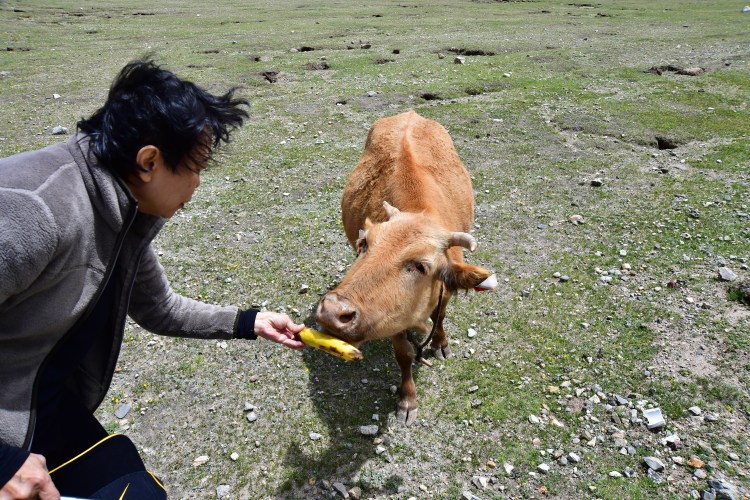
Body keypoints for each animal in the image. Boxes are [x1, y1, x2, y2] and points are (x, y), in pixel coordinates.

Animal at [315, 110, 494, 425]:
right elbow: (404, 353)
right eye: (364, 243)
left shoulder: (446, 290)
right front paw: (407, 400)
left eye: (420, 266)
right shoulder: (392, 318)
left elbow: (440, 316)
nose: (333, 311)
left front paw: (440, 343)